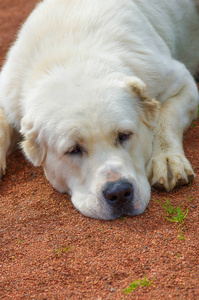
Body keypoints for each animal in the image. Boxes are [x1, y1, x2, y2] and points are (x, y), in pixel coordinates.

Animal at [0, 0, 199, 220]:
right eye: (73, 150)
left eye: (124, 135)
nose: (119, 192)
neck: (72, 60)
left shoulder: (181, 82)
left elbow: (166, 117)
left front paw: (166, 159)